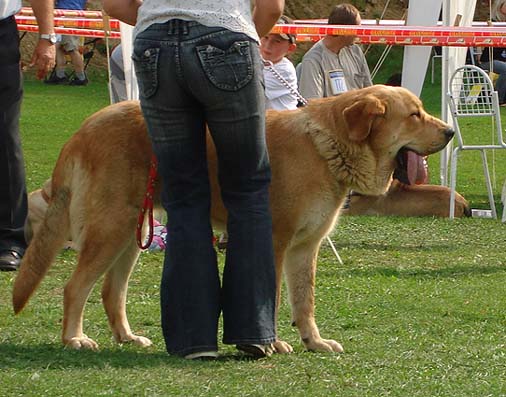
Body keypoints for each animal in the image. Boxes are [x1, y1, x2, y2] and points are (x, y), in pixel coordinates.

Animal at [11, 85, 454, 352]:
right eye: (414, 115)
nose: (450, 131)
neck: (328, 145)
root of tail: (84, 128)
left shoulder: (305, 249)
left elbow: (305, 302)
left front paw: (314, 342)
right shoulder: (274, 242)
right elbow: (271, 299)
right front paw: (271, 343)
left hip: (130, 233)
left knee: (110, 292)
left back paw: (127, 336)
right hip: (110, 229)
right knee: (75, 287)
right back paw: (74, 338)